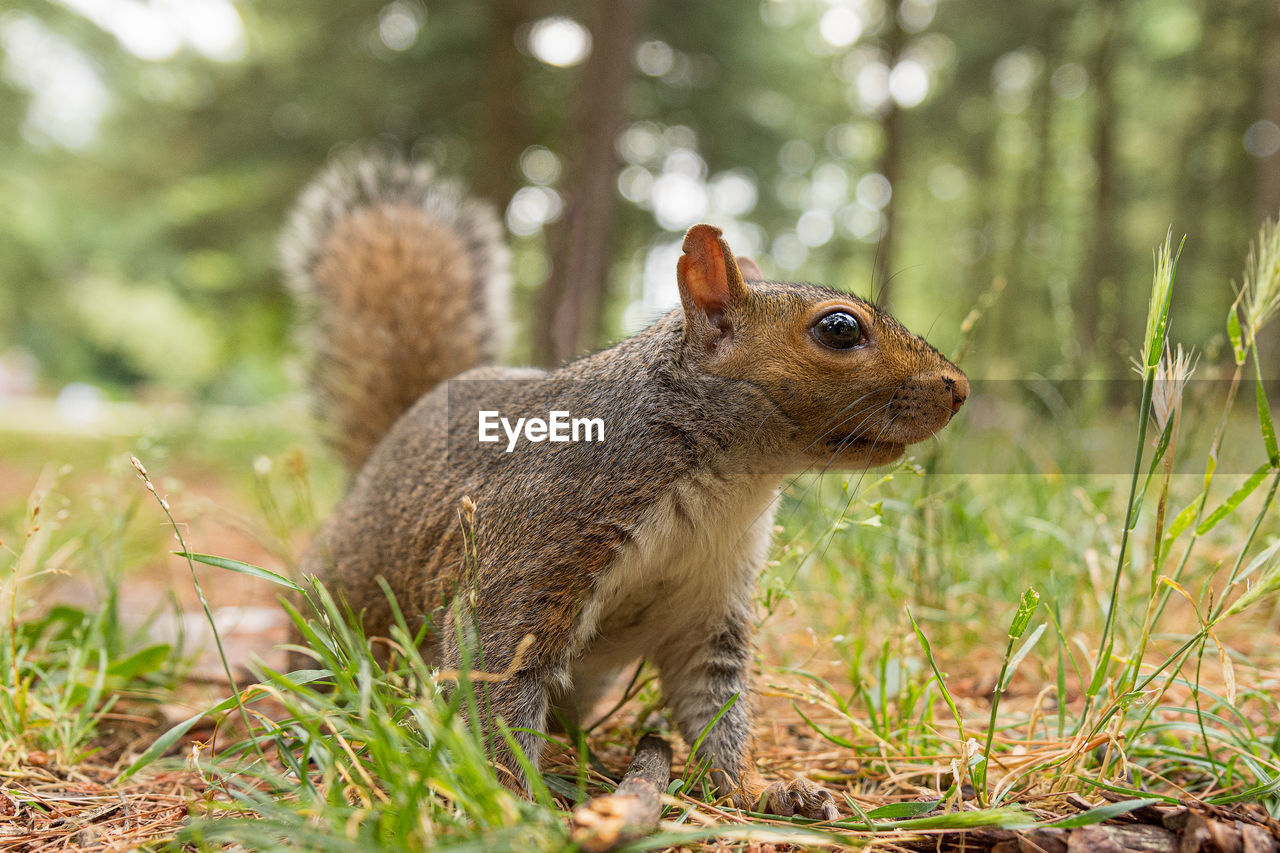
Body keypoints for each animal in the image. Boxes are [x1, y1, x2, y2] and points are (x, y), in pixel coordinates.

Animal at [282, 153, 967, 819]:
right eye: (840, 330)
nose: (958, 388)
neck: (727, 482)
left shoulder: (711, 600)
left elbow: (714, 700)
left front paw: (757, 789)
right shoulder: (537, 542)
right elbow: (495, 672)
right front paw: (508, 801)